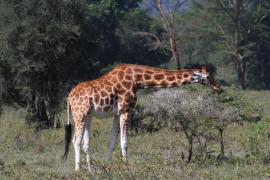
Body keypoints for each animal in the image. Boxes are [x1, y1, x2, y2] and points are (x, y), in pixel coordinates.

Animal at [61, 64, 221, 171]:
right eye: (208, 76)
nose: (219, 88)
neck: (138, 80)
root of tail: (69, 97)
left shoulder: (117, 113)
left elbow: (112, 142)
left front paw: (110, 166)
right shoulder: (126, 110)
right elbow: (124, 142)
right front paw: (126, 168)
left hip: (88, 116)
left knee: (85, 143)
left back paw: (90, 170)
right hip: (80, 114)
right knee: (76, 140)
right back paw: (78, 170)